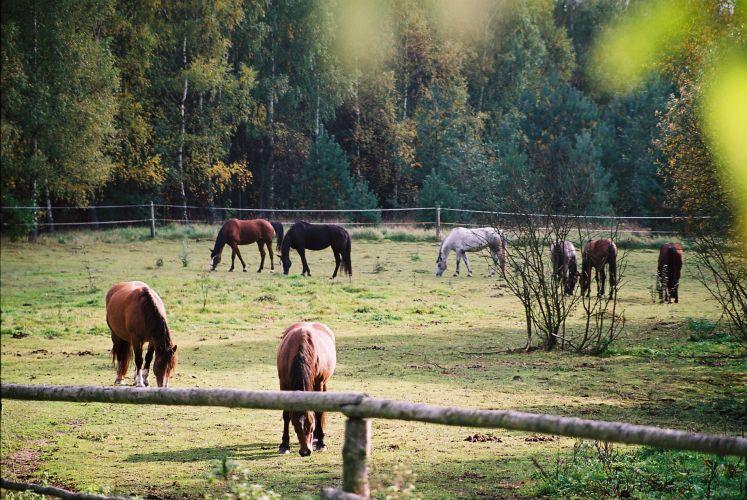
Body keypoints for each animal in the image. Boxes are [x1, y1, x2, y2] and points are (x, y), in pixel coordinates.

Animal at [276, 320, 338, 458]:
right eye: (295, 426)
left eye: (311, 425)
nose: (305, 451)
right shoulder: (284, 384)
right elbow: (286, 414)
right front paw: (284, 445)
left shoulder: (319, 383)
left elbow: (318, 412)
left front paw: (321, 443)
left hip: (323, 384)